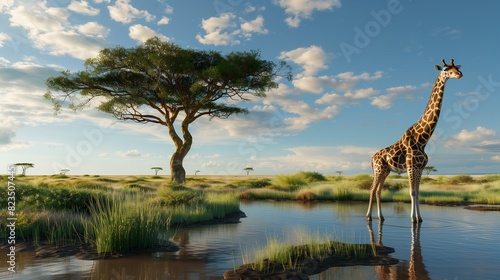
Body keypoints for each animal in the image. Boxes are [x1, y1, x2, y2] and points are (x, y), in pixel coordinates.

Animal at [366, 59, 462, 223]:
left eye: (456, 67)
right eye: (445, 69)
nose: (459, 74)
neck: (423, 139)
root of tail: (372, 158)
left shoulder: (420, 168)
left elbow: (418, 192)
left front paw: (420, 218)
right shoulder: (411, 166)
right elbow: (412, 192)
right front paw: (413, 219)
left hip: (385, 170)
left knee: (378, 190)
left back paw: (381, 217)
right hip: (378, 170)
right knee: (372, 189)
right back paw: (368, 216)